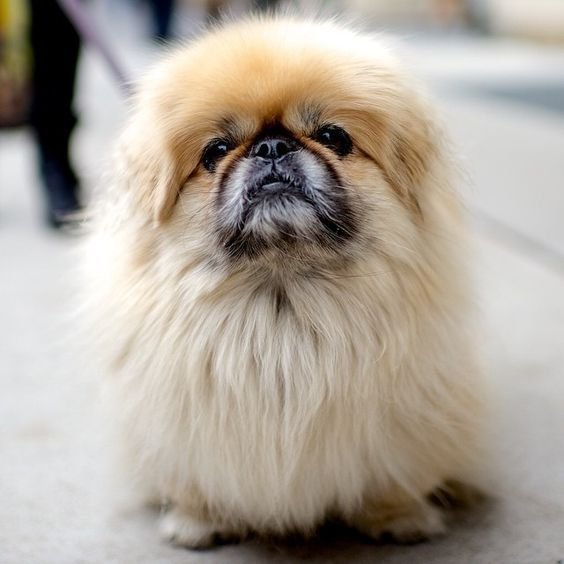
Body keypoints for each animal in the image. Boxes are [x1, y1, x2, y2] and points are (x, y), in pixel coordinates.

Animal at [82, 16, 484, 548]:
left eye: (333, 137)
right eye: (216, 151)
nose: (272, 146)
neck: (282, 296)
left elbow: (392, 474)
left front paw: (398, 517)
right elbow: (194, 479)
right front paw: (199, 522)